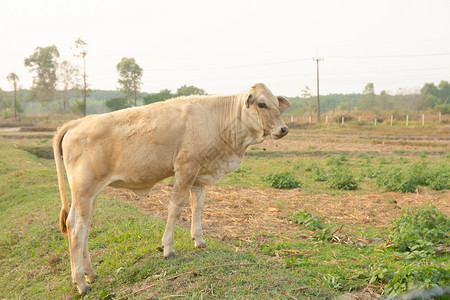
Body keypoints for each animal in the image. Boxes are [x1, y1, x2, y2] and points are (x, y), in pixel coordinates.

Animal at [53, 82, 292, 292]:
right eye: (261, 104)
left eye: (276, 104)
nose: (284, 129)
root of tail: (75, 123)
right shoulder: (185, 169)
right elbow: (175, 208)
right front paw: (168, 248)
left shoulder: (198, 176)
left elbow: (198, 207)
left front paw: (199, 239)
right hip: (84, 191)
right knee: (75, 227)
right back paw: (81, 283)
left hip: (88, 195)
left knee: (83, 227)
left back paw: (90, 274)